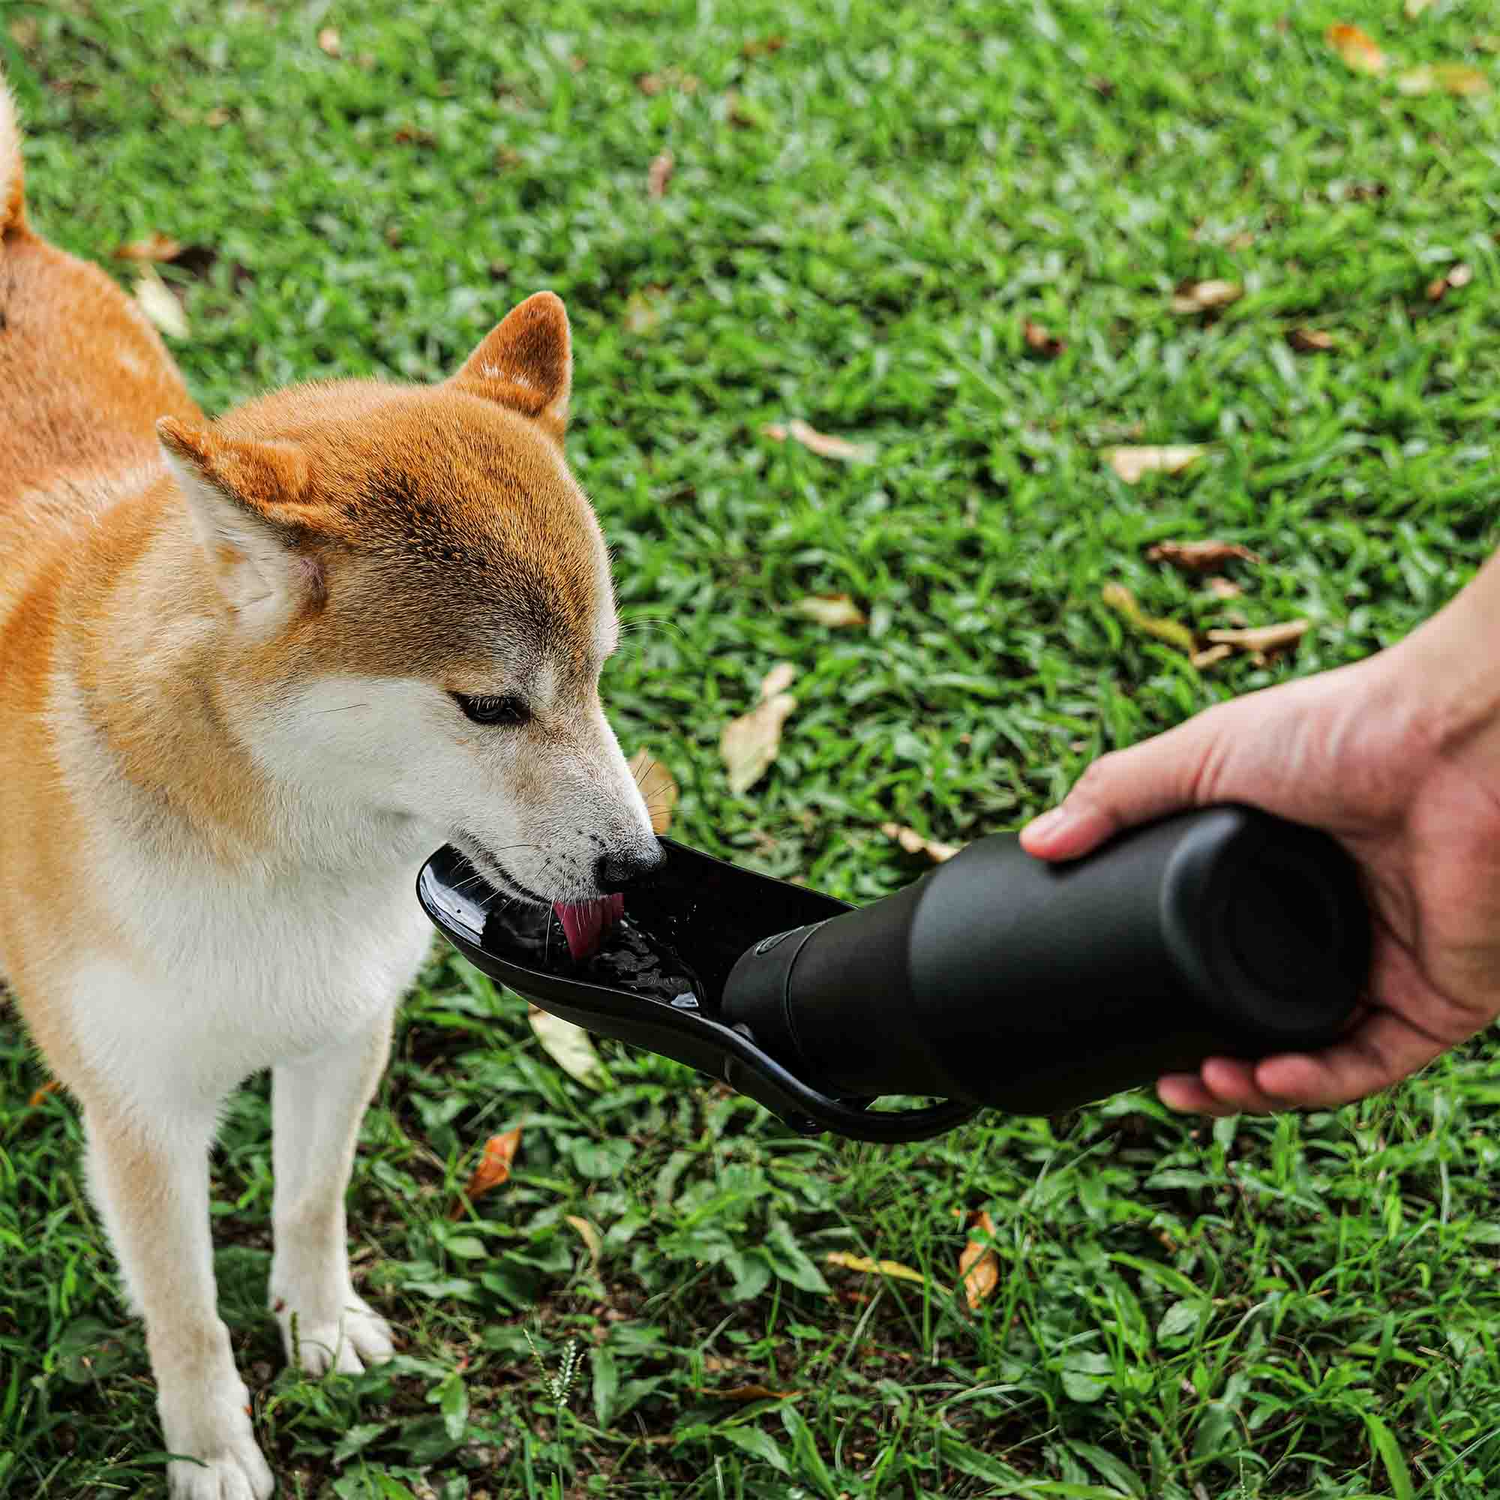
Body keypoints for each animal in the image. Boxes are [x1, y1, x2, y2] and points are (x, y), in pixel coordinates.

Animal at [0, 76, 663, 1494]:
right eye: (492, 705)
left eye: (599, 674)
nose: (639, 869)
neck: (277, 853)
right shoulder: (141, 1120)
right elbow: (185, 1316)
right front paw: (211, 1454)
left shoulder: (343, 1027)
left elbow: (311, 1199)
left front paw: (318, 1326)